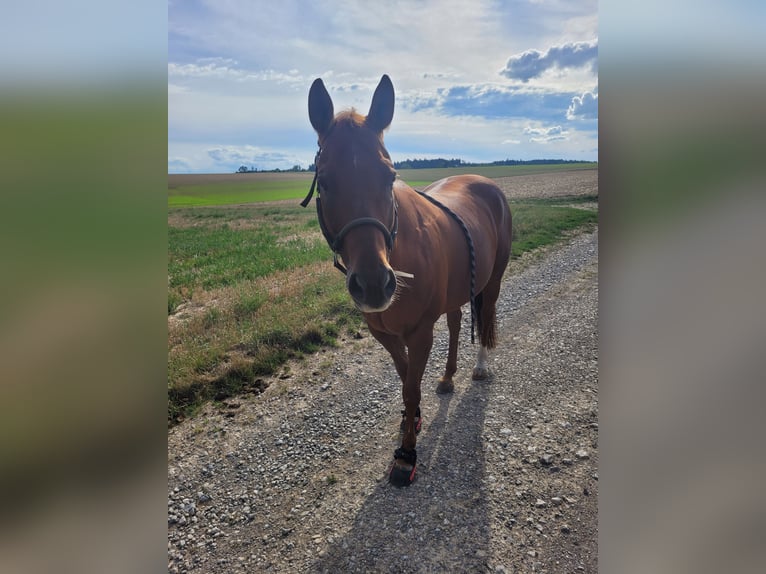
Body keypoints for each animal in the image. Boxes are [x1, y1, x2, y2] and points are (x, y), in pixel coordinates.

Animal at [303, 74, 512, 486]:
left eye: (389, 176)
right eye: (326, 182)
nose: (373, 284)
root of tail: (485, 182)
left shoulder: (419, 333)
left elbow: (413, 388)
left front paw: (406, 454)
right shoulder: (384, 333)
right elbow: (405, 381)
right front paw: (408, 422)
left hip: (492, 281)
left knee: (485, 315)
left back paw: (480, 367)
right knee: (456, 321)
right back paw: (447, 377)